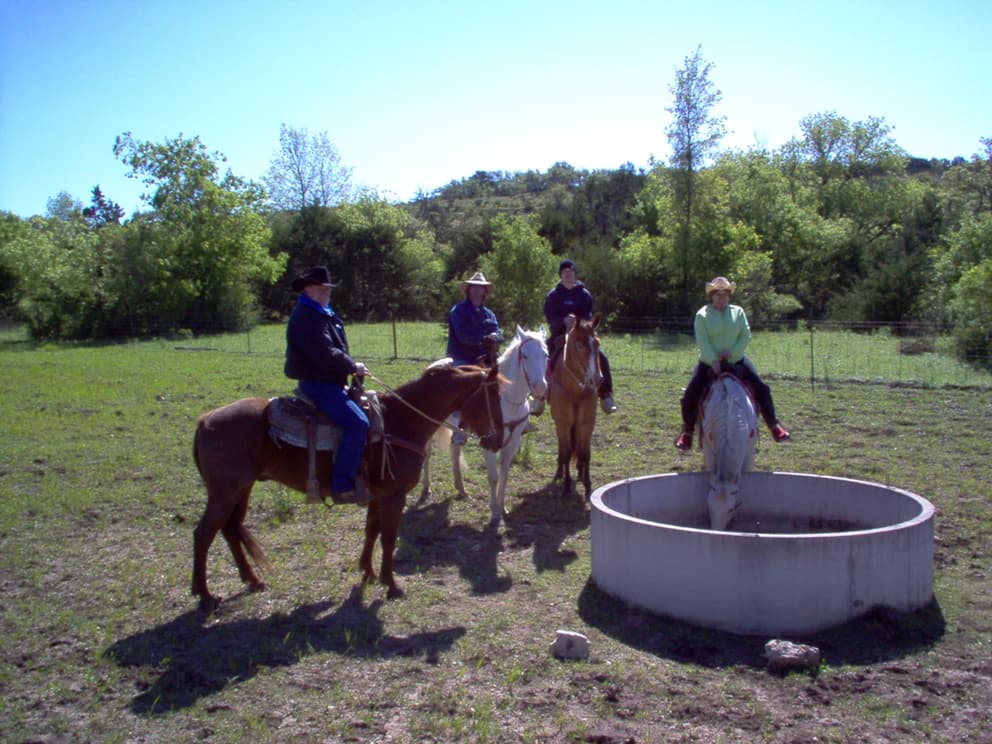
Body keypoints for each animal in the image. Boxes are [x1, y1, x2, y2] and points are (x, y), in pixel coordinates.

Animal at [191, 364, 504, 612]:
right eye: (493, 396)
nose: (498, 439)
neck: (401, 421)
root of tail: (204, 421)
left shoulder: (377, 495)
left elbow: (371, 531)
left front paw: (369, 573)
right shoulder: (394, 496)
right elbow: (388, 538)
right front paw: (392, 585)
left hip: (242, 489)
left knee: (231, 530)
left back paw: (254, 581)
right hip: (224, 493)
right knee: (204, 534)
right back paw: (205, 595)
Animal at [418, 326, 552, 528]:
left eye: (545, 354)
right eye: (525, 355)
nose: (539, 388)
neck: (505, 399)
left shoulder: (513, 442)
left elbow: (504, 475)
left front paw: (502, 508)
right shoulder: (490, 442)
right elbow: (494, 477)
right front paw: (494, 513)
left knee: (455, 450)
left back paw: (461, 489)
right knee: (427, 454)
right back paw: (426, 488)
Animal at [548, 316, 600, 496]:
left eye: (597, 343)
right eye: (579, 345)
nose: (597, 378)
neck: (574, 390)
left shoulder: (587, 422)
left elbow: (585, 452)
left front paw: (587, 484)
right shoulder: (563, 423)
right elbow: (566, 451)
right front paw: (566, 486)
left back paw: (580, 472)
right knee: (563, 447)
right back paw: (560, 472)